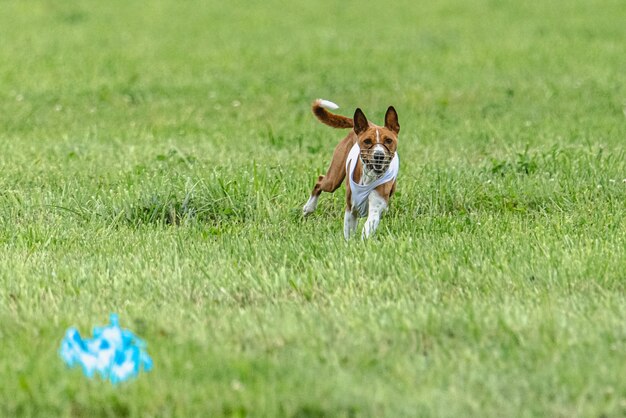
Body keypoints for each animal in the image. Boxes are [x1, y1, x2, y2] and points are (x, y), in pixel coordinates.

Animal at [302, 98, 400, 240]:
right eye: (367, 141)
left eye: (388, 140)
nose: (379, 155)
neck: (368, 177)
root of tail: (369, 123)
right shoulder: (351, 209)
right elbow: (348, 232)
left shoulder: (375, 208)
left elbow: (367, 227)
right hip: (333, 179)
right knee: (320, 181)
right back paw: (308, 208)